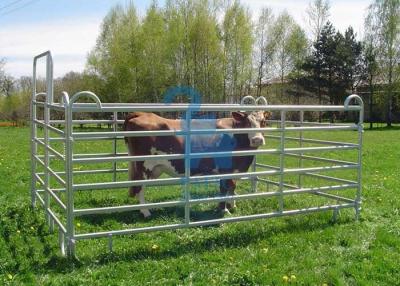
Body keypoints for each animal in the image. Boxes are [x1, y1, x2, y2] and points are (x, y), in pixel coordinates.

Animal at [124, 110, 268, 217]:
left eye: (263, 121)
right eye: (247, 122)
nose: (257, 139)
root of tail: (143, 113)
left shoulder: (235, 170)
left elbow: (233, 187)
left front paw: (232, 205)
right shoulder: (225, 169)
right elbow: (224, 188)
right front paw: (224, 209)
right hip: (143, 166)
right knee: (139, 187)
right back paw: (145, 211)